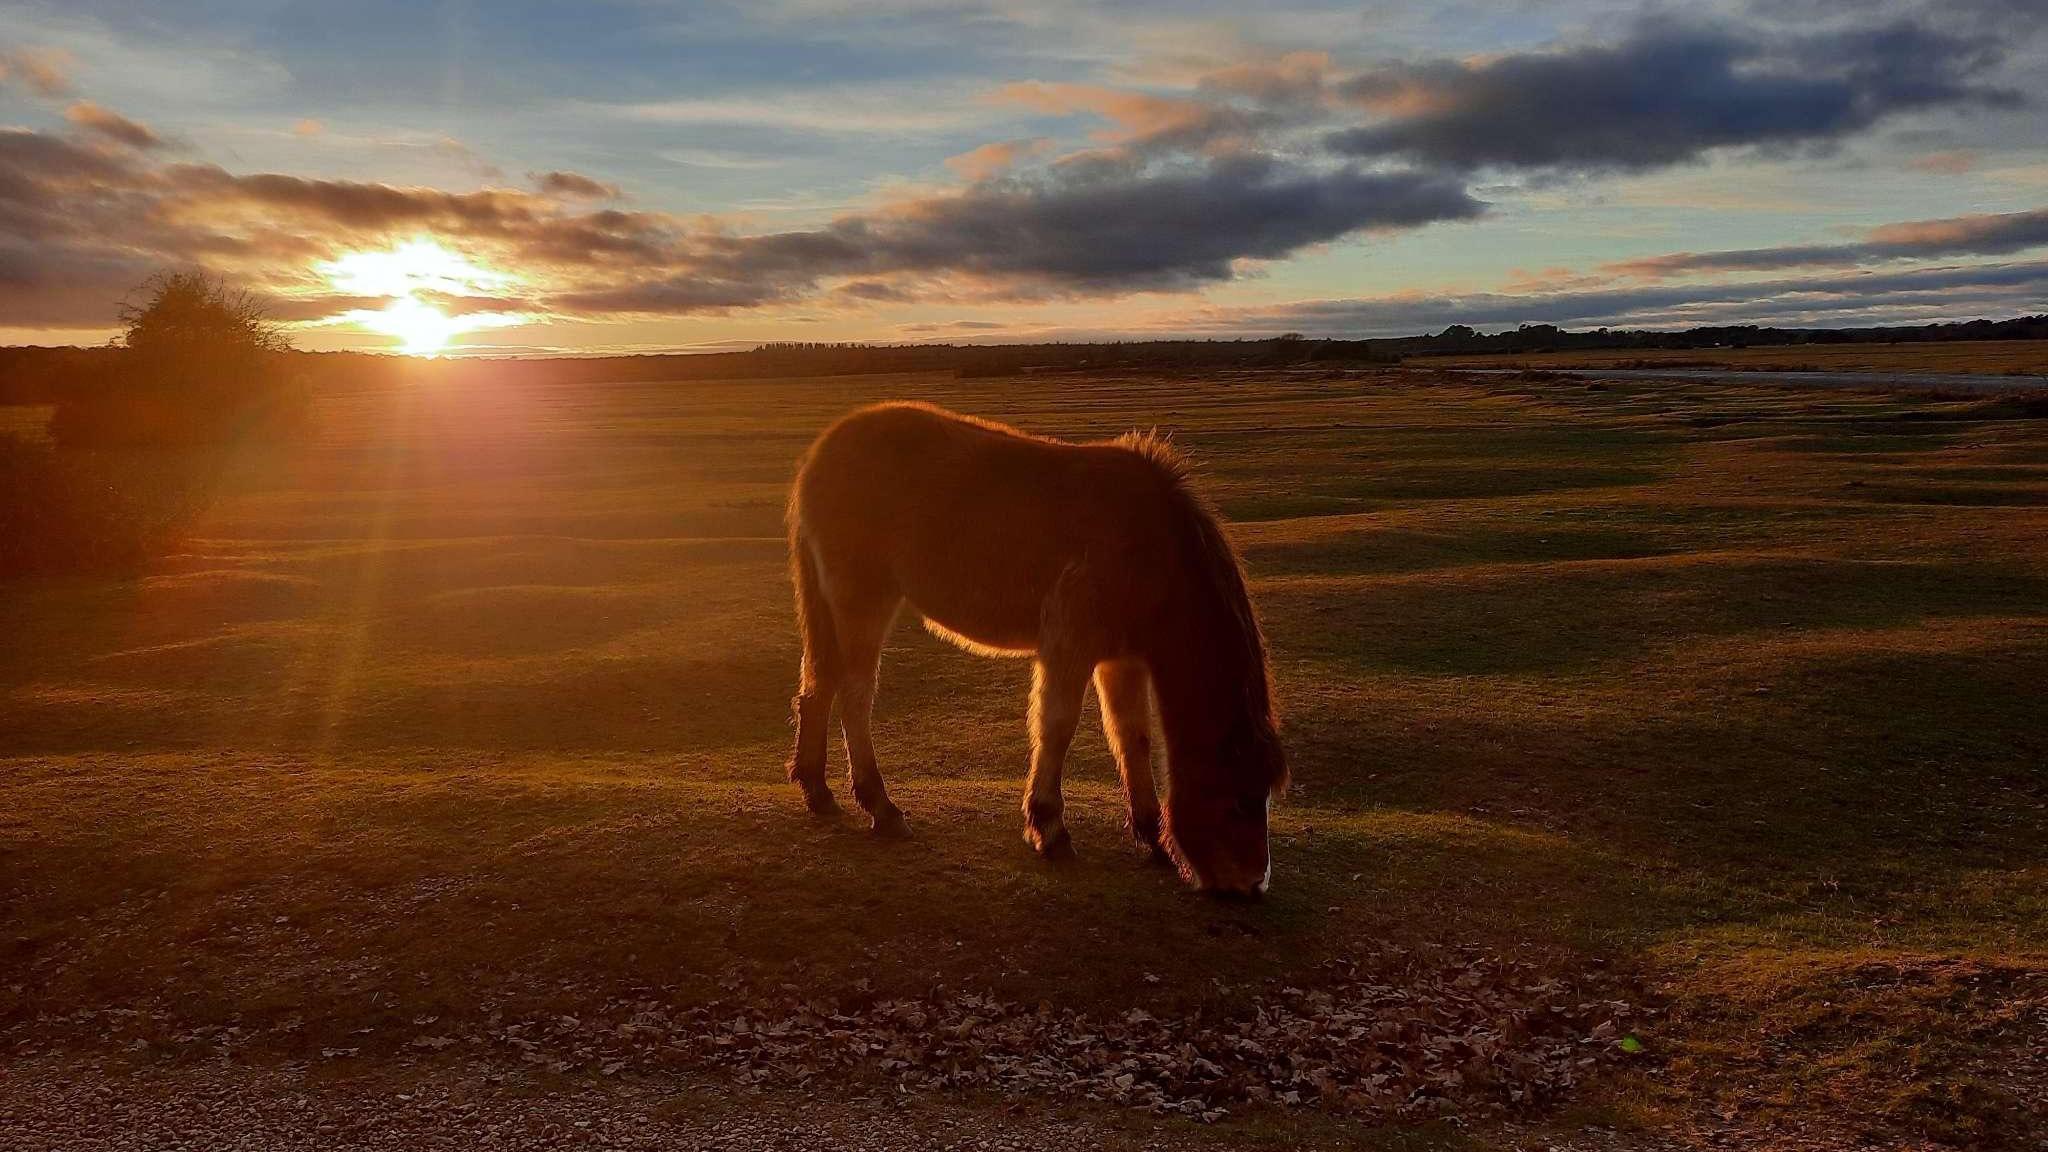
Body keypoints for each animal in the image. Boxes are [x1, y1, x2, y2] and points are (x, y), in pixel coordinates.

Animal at [778, 399, 1277, 893]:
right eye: (1240, 800)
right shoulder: (1071, 644)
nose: (1254, 883)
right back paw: (881, 807)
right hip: (863, 602)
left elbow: (1131, 736)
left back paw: (817, 791)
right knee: (854, 696)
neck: (1150, 543)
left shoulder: (1121, 660)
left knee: (818, 687)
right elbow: (1056, 727)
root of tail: (821, 454)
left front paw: (1152, 837)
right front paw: (1050, 828)